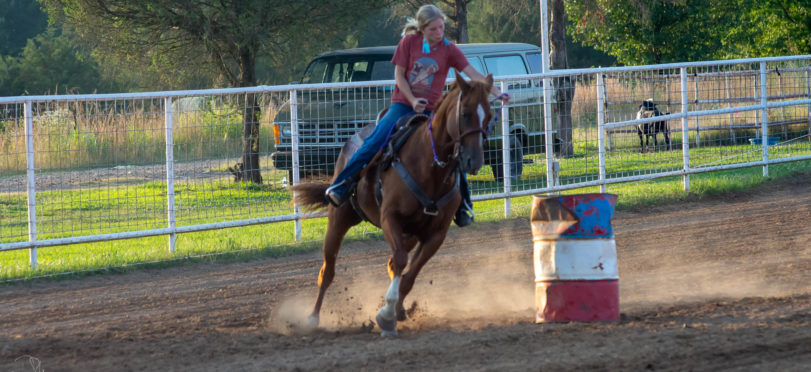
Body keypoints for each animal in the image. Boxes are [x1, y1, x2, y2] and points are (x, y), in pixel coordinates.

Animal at [292, 73, 494, 338]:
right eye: (466, 113)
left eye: (489, 115)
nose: (474, 160)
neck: (430, 168)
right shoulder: (390, 218)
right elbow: (399, 261)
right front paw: (387, 315)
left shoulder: (436, 234)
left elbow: (409, 275)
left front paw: (393, 312)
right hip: (339, 218)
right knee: (328, 271)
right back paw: (313, 318)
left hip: (410, 234)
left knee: (391, 264)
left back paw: (400, 309)